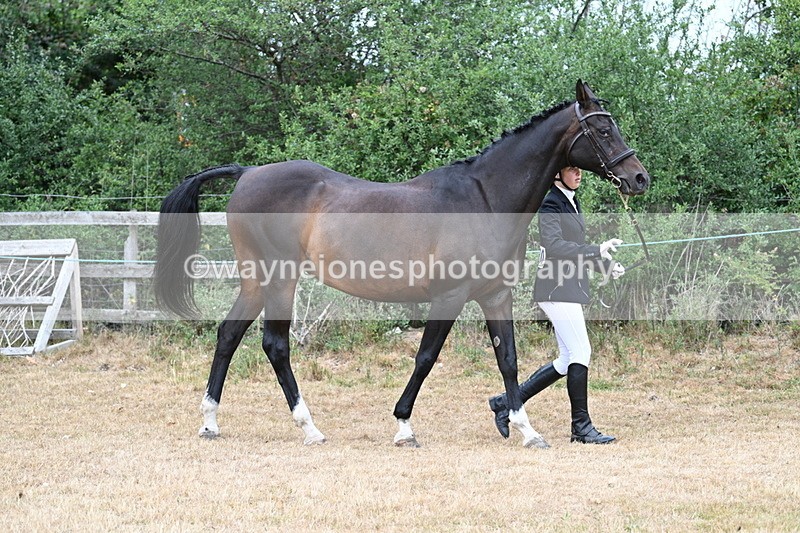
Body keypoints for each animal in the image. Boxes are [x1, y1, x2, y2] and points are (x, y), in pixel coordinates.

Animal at [154, 80, 650, 448]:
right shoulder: (449, 297)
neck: (484, 198)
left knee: (228, 335)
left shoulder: (495, 295)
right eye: (602, 130)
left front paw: (526, 429)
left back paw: (211, 422)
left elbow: (508, 359)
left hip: (257, 282)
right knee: (275, 345)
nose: (638, 178)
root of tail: (248, 173)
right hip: (279, 280)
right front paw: (404, 426)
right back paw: (309, 428)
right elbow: (426, 357)